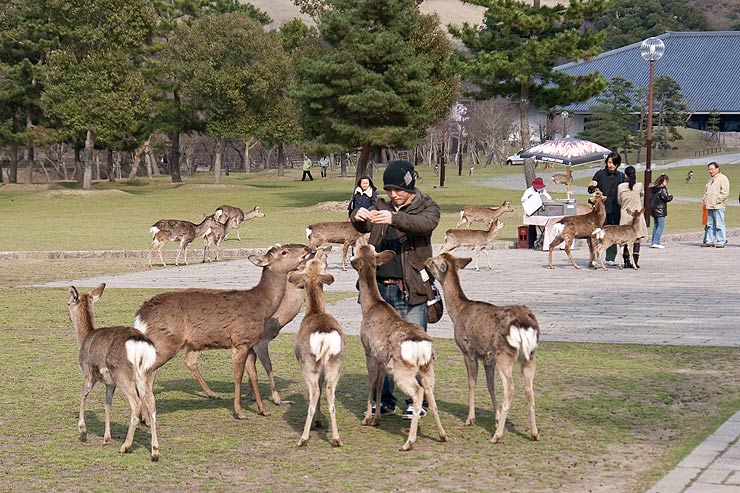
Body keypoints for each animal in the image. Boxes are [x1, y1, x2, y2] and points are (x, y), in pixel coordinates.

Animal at [67, 282, 160, 460]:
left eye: (68, 303)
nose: (67, 315)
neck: (84, 338)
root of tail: (141, 344)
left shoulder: (88, 373)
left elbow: (83, 394)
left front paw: (82, 431)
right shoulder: (110, 383)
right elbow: (107, 404)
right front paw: (106, 438)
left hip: (123, 375)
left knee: (136, 403)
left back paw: (126, 446)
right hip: (146, 374)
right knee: (151, 403)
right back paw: (155, 451)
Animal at [133, 242, 312, 418]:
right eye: (284, 252)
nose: (307, 248)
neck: (263, 307)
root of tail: (140, 316)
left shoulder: (250, 344)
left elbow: (253, 375)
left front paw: (263, 410)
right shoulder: (241, 341)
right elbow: (238, 376)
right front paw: (239, 412)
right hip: (165, 342)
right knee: (145, 372)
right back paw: (146, 416)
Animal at [290, 246, 346, 446]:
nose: (324, 249)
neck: (314, 310)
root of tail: (324, 336)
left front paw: (317, 422)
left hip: (308, 364)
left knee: (315, 391)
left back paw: (303, 438)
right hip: (336, 363)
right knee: (329, 392)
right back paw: (336, 438)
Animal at [352, 235, 448, 450]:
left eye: (361, 248)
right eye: (367, 247)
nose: (360, 237)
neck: (370, 306)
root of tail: (421, 348)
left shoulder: (369, 352)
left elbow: (372, 383)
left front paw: (367, 418)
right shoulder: (381, 360)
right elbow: (380, 385)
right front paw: (377, 418)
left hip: (402, 370)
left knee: (418, 392)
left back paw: (409, 442)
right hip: (428, 369)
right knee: (430, 393)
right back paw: (443, 435)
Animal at [424, 254, 540, 442]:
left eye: (435, 261)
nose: (426, 260)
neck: (458, 312)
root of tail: (525, 323)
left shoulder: (468, 350)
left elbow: (472, 382)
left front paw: (470, 419)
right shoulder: (488, 357)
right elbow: (490, 384)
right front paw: (497, 417)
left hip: (504, 355)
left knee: (510, 388)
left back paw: (497, 435)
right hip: (530, 355)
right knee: (529, 389)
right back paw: (534, 433)